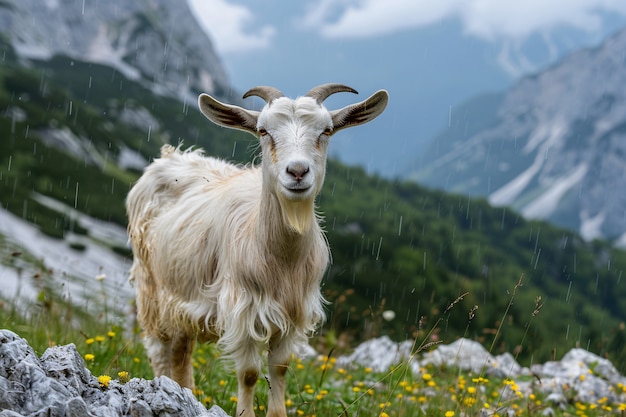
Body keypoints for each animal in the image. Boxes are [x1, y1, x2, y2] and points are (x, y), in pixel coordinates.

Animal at [125, 83, 388, 416]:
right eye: (263, 131)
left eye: (326, 130)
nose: (297, 171)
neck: (281, 260)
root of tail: (169, 157)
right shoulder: (243, 309)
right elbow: (249, 373)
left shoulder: (294, 312)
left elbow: (280, 368)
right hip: (150, 286)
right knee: (159, 347)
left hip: (182, 295)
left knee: (182, 350)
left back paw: (185, 392)